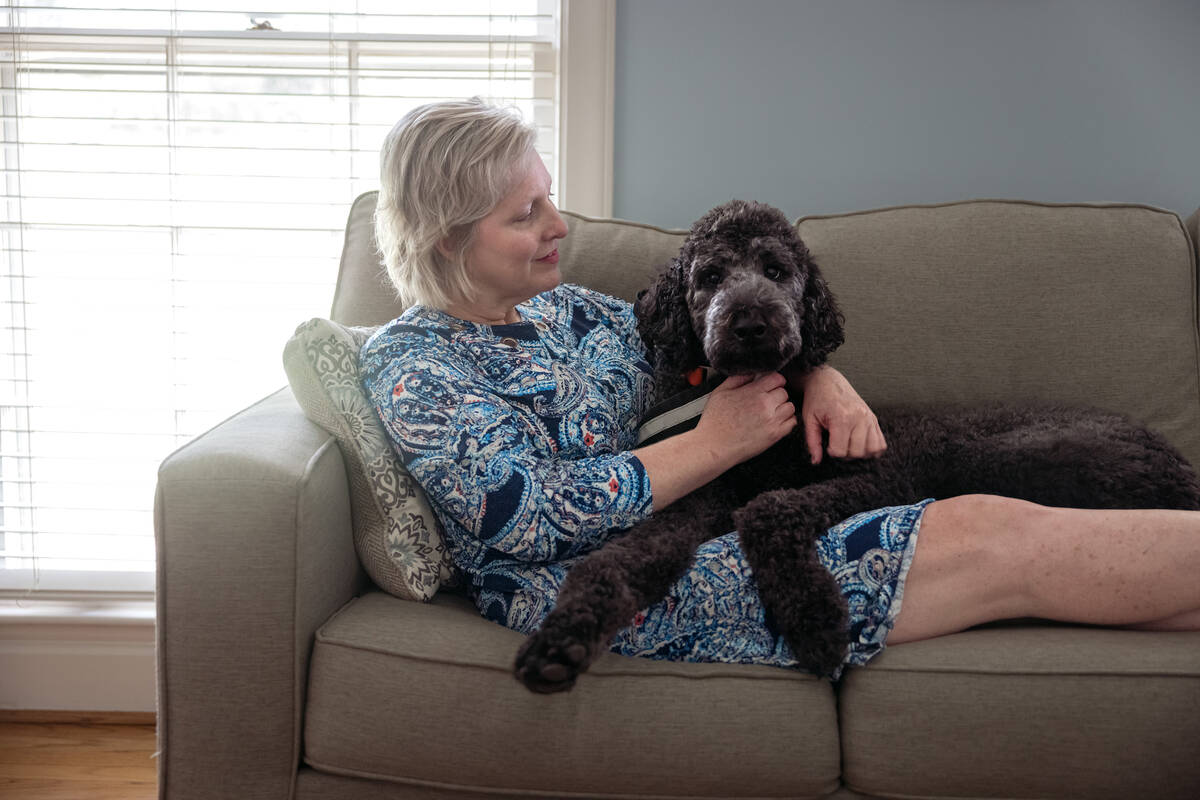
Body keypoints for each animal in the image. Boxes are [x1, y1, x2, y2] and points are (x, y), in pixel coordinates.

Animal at [513, 196, 1200, 690]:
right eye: (709, 275)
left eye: (777, 271)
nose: (752, 324)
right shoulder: (689, 499)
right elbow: (615, 558)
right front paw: (561, 641)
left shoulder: (876, 478)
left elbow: (768, 509)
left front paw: (816, 620)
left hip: (1015, 456)